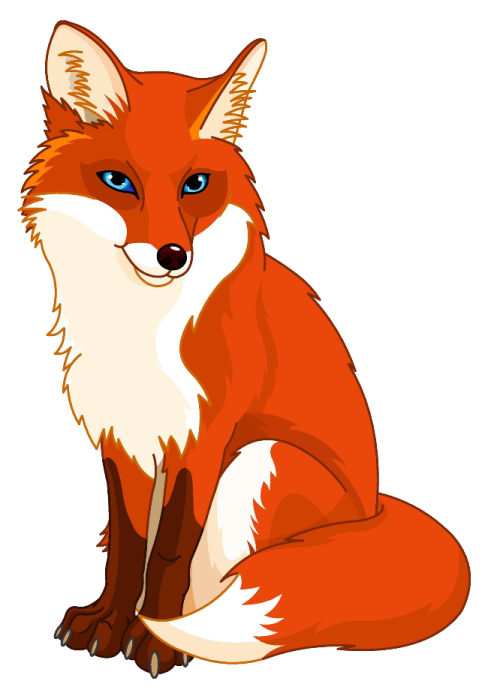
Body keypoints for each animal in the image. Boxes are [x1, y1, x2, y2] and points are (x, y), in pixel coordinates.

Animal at [20, 20, 470, 678]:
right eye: (119, 182)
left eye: (195, 185)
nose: (173, 256)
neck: (142, 330)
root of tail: (377, 510)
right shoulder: (125, 438)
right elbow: (130, 548)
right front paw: (107, 623)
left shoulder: (204, 438)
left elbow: (169, 557)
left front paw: (153, 641)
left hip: (261, 459)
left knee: (223, 584)